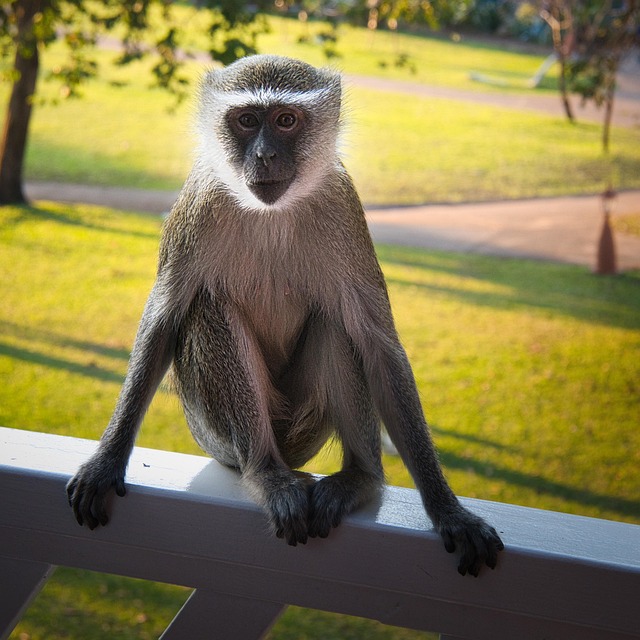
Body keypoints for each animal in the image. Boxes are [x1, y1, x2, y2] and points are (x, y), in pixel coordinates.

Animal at [66, 54, 504, 577]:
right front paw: (107, 460)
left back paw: (361, 477)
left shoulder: (343, 207)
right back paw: (267, 474)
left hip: (305, 423)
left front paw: (447, 509)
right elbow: (164, 320)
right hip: (217, 434)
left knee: (337, 325)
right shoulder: (198, 204)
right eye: (246, 120)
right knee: (208, 310)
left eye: (286, 120)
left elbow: (377, 344)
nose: (264, 157)